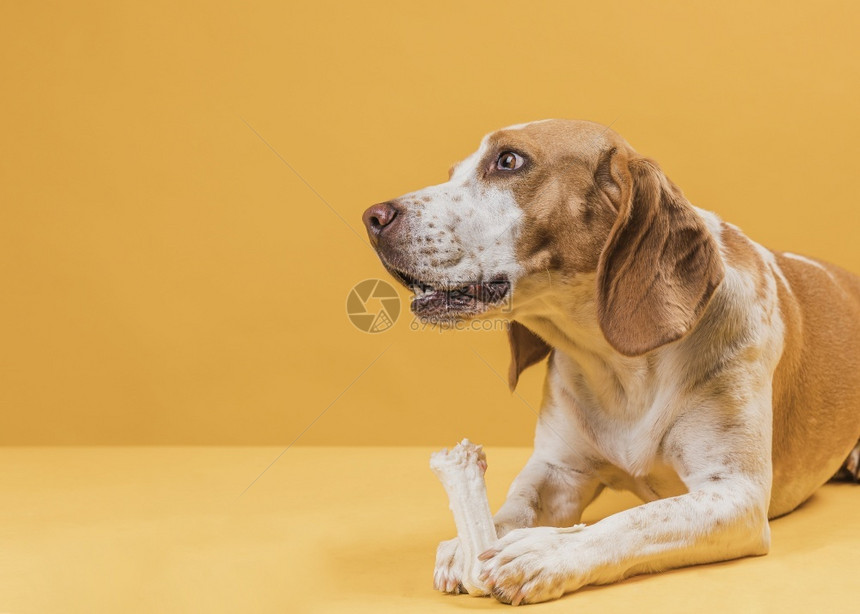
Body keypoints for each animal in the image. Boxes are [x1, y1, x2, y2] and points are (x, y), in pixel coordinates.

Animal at [360, 119, 856, 608]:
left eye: (508, 161)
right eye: (453, 172)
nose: (372, 217)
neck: (622, 366)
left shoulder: (735, 494)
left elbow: (636, 520)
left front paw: (545, 551)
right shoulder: (558, 470)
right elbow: (513, 506)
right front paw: (467, 544)